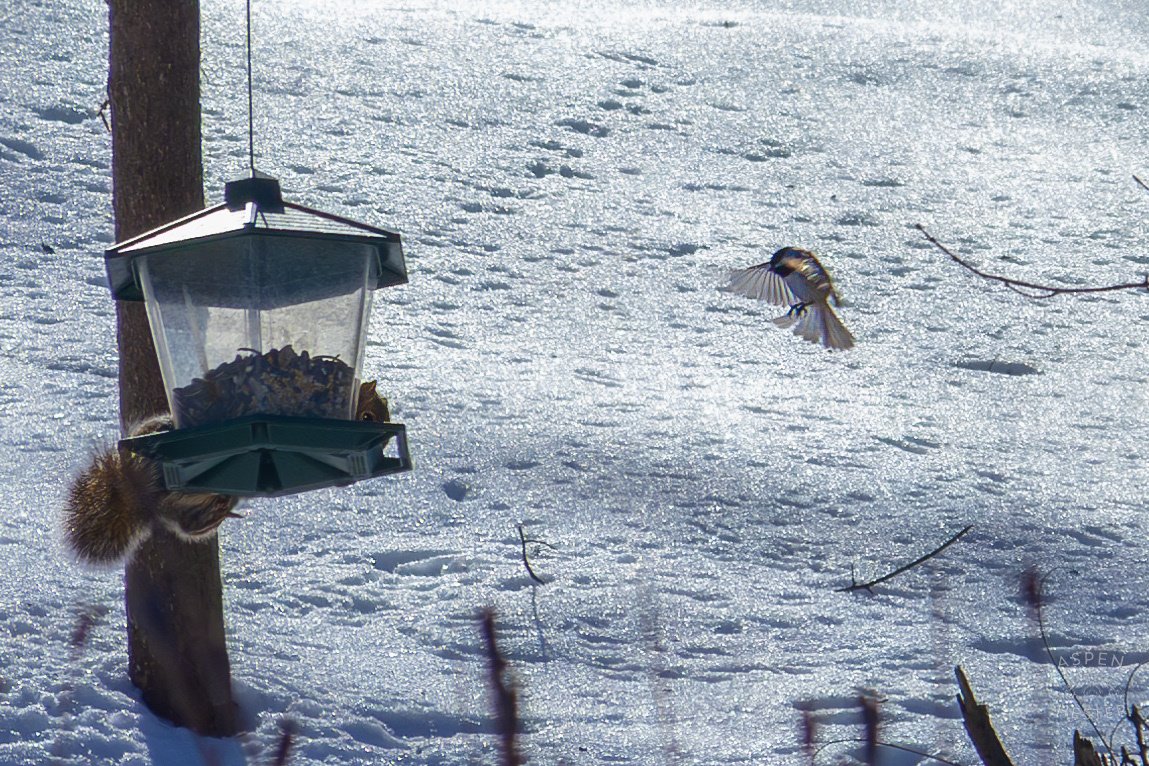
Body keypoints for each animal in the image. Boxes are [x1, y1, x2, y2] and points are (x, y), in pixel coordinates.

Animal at [64, 380, 390, 565]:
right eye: (367, 416)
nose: (382, 442)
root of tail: (135, 492)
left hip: (204, 501)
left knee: (186, 523)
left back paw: (219, 513)